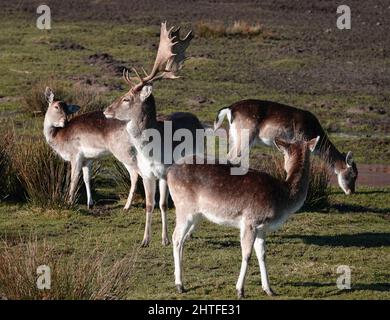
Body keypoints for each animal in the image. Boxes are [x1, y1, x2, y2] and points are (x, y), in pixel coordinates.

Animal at [104, 22, 204, 248]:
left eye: (127, 98)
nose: (106, 110)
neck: (151, 152)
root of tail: (196, 118)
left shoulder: (164, 172)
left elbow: (163, 204)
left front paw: (165, 239)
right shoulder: (146, 173)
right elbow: (150, 205)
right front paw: (145, 240)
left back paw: (189, 234)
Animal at [168, 136, 320, 298]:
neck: (283, 197)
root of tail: (169, 171)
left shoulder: (262, 227)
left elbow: (262, 254)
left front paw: (269, 289)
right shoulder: (250, 220)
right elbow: (247, 254)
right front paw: (240, 290)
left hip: (196, 214)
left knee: (182, 239)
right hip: (184, 207)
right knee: (176, 237)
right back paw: (179, 285)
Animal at [215, 100, 358, 195]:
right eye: (352, 174)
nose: (351, 191)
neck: (313, 131)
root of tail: (230, 109)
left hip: (234, 135)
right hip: (245, 134)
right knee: (232, 157)